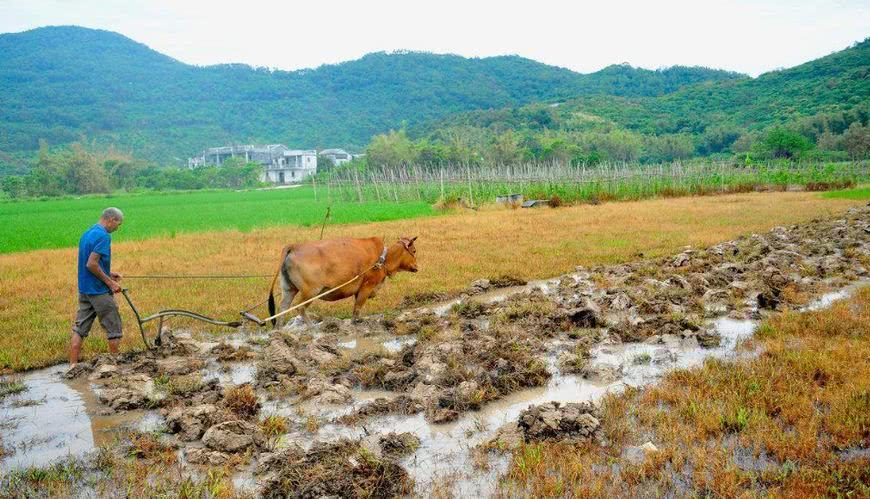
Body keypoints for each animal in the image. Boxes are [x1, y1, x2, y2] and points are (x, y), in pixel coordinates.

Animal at [268, 236, 420, 326]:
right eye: (414, 250)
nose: (417, 267)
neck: (383, 258)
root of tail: (294, 246)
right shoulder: (366, 287)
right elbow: (357, 309)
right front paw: (356, 323)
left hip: (289, 289)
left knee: (282, 309)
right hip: (310, 292)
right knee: (300, 308)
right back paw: (312, 327)